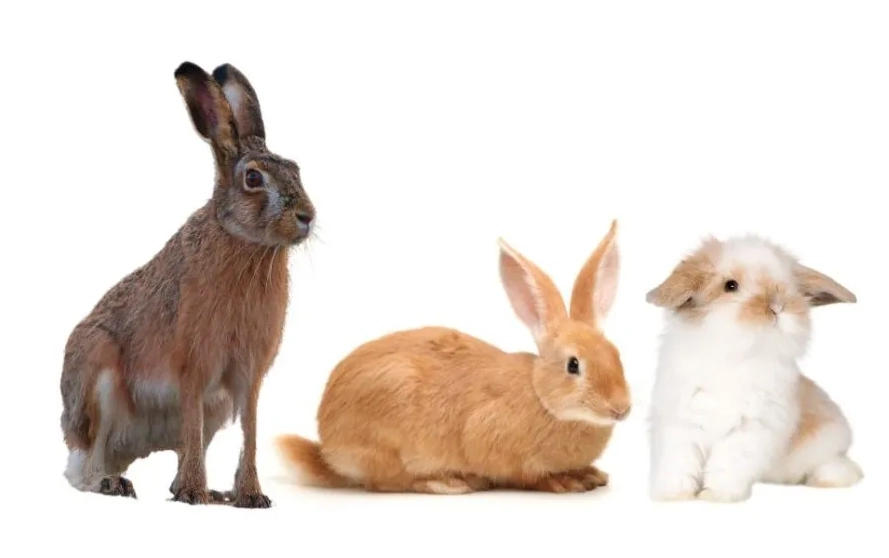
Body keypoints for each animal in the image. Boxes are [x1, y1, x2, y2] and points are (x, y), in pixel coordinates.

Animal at [59, 61, 316, 508]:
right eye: (253, 179)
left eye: (296, 170)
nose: (307, 216)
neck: (243, 242)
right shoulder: (193, 367)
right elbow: (193, 426)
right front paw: (195, 494)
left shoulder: (246, 377)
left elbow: (248, 431)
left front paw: (250, 496)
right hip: (96, 378)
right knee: (86, 465)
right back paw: (115, 484)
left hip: (215, 408)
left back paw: (208, 492)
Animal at [276, 220, 630, 494]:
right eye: (573, 365)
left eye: (616, 354)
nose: (621, 408)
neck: (542, 399)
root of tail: (329, 450)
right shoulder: (492, 440)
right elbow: (526, 475)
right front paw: (566, 482)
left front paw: (591, 474)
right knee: (387, 482)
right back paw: (448, 482)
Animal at [644, 234, 862, 503]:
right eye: (730, 285)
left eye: (790, 287)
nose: (778, 306)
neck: (736, 358)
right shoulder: (681, 424)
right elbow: (679, 463)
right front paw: (675, 495)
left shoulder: (750, 430)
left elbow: (726, 465)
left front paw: (715, 496)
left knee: (838, 465)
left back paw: (830, 478)